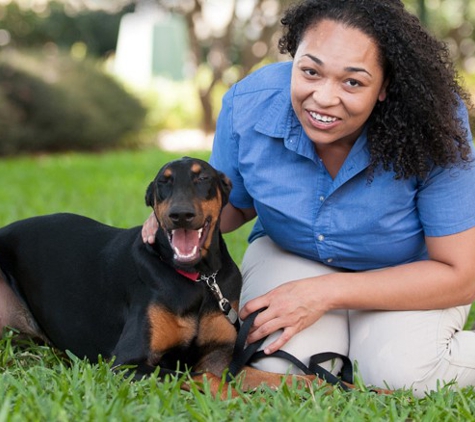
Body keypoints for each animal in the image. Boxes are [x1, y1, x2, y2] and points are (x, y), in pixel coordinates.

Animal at [0, 157, 245, 386]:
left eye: (203, 178)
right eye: (163, 182)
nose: (181, 214)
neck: (200, 278)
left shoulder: (220, 352)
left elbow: (230, 375)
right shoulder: (126, 363)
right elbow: (203, 377)